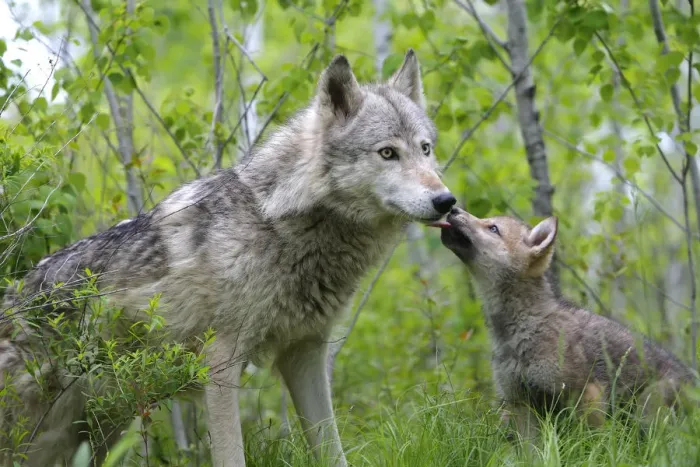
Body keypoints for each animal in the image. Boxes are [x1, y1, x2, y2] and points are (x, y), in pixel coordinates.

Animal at [1, 49, 455, 466]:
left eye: (425, 149)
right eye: (387, 153)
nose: (446, 201)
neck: (279, 222)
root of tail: (13, 295)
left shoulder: (305, 353)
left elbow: (332, 450)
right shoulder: (220, 363)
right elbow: (231, 453)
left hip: (99, 428)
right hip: (40, 435)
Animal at [439, 208, 696, 439]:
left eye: (493, 228)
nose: (452, 208)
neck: (521, 328)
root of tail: (693, 380)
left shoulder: (587, 395)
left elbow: (591, 445)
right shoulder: (519, 404)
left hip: (648, 411)